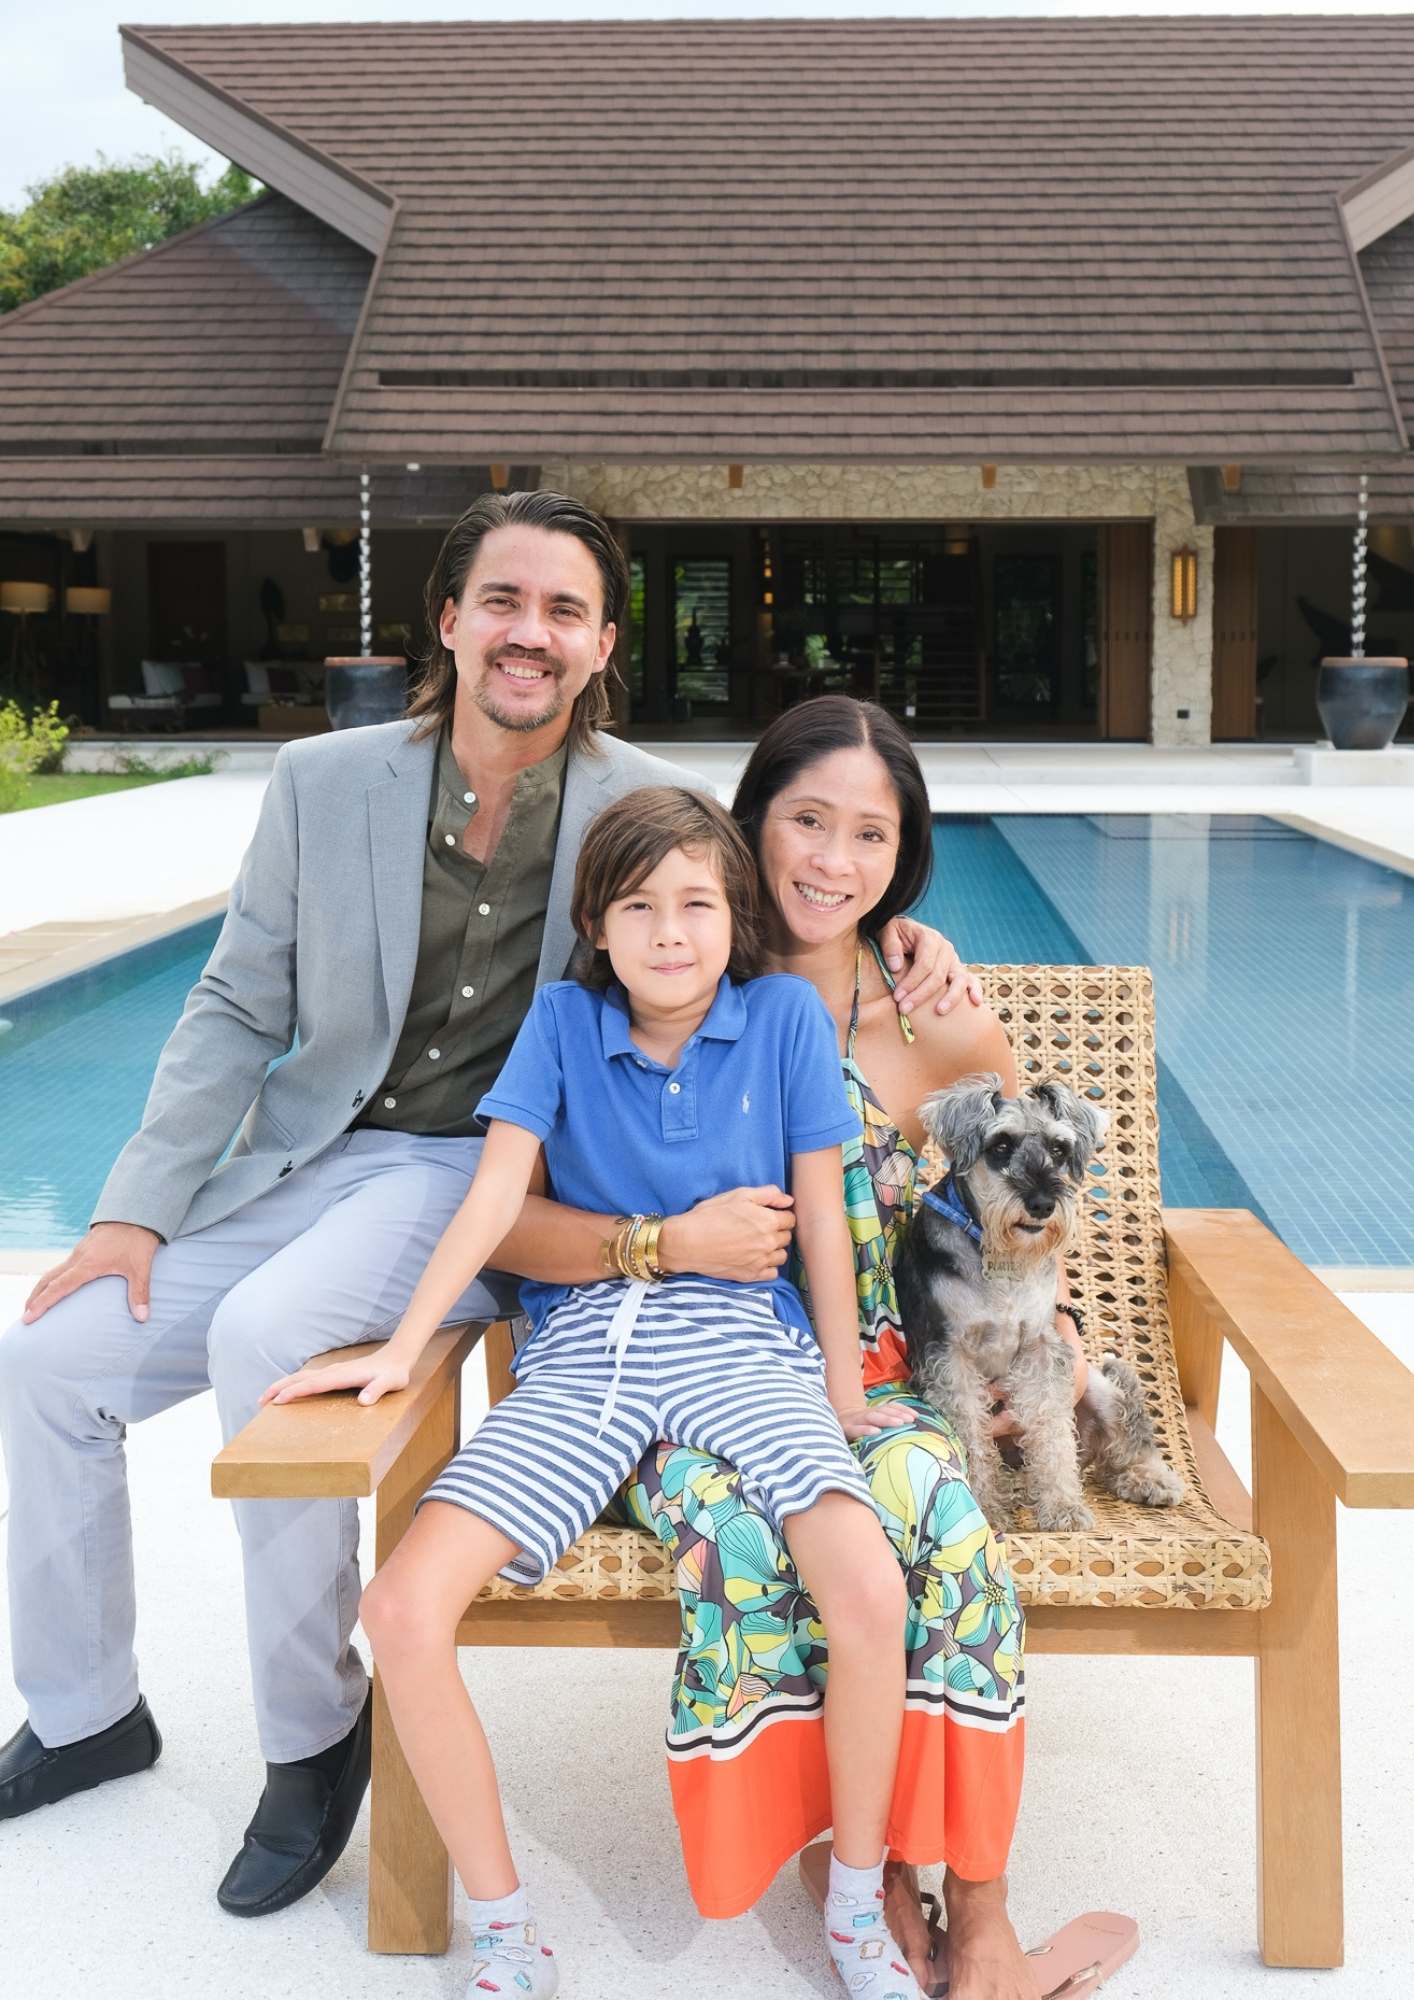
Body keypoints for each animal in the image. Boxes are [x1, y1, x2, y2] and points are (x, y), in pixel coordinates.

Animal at [894, 1073, 1184, 1533]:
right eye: (1000, 1145)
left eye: (1059, 1149)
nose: (1043, 1204)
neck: (1001, 1259)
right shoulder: (949, 1356)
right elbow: (971, 1438)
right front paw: (987, 1508)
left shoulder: (1040, 1350)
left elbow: (1051, 1433)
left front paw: (1062, 1505)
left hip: (1098, 1386)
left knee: (1122, 1443)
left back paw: (1147, 1477)